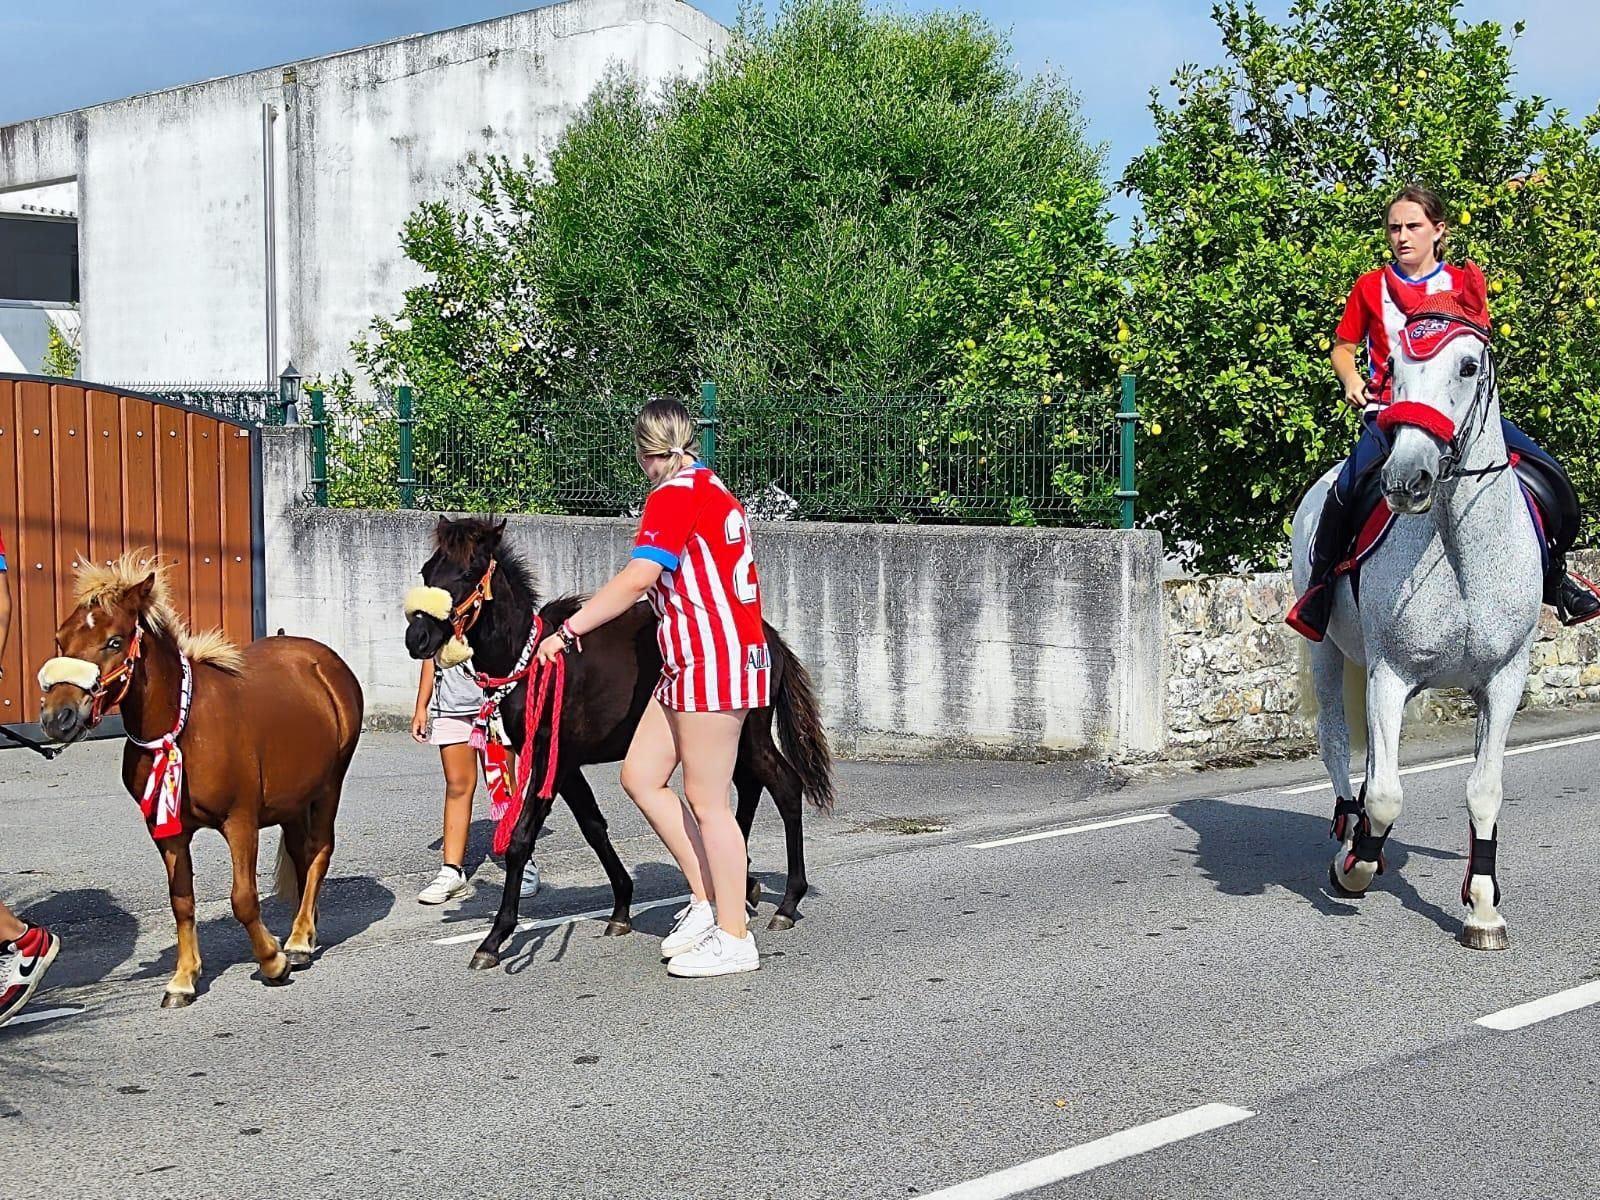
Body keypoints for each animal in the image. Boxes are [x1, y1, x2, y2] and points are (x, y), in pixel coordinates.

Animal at [38, 553, 366, 1004]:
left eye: (115, 641)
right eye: (60, 639)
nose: (59, 718)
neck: (183, 730)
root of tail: (326, 663)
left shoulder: (240, 821)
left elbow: (242, 898)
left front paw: (272, 961)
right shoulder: (168, 832)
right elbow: (182, 901)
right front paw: (183, 979)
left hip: (329, 785)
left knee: (319, 851)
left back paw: (298, 941)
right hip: (292, 801)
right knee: (302, 856)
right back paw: (306, 929)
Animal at [403, 512, 838, 972]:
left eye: (468, 571)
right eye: (427, 571)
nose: (418, 639)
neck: (531, 660)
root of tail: (770, 637)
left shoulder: (549, 760)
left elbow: (520, 841)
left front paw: (494, 938)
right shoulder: (567, 764)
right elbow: (594, 827)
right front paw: (621, 909)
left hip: (748, 734)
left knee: (786, 787)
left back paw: (787, 902)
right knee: (747, 789)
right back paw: (743, 881)